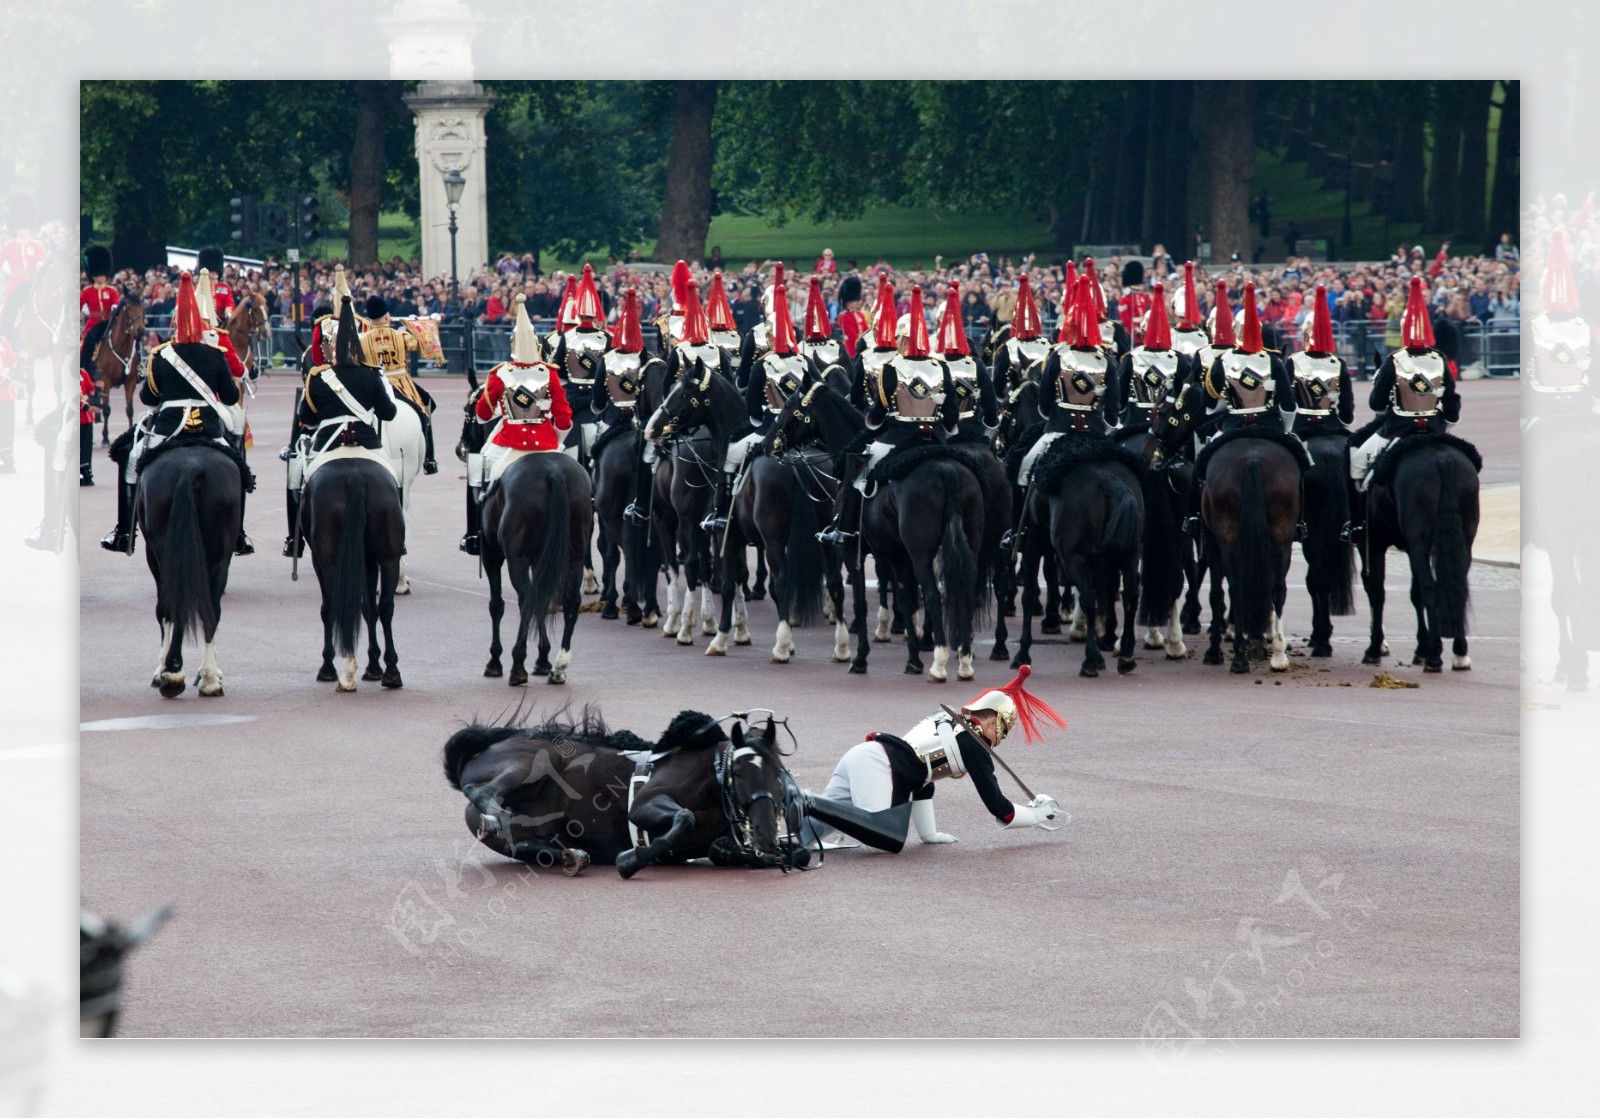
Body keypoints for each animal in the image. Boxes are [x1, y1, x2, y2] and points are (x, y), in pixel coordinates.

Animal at [90, 297, 146, 445]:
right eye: (130, 308)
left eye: (142, 307)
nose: (141, 331)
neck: (121, 347)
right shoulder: (106, 380)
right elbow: (107, 409)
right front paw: (105, 437)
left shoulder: (130, 381)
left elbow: (130, 410)